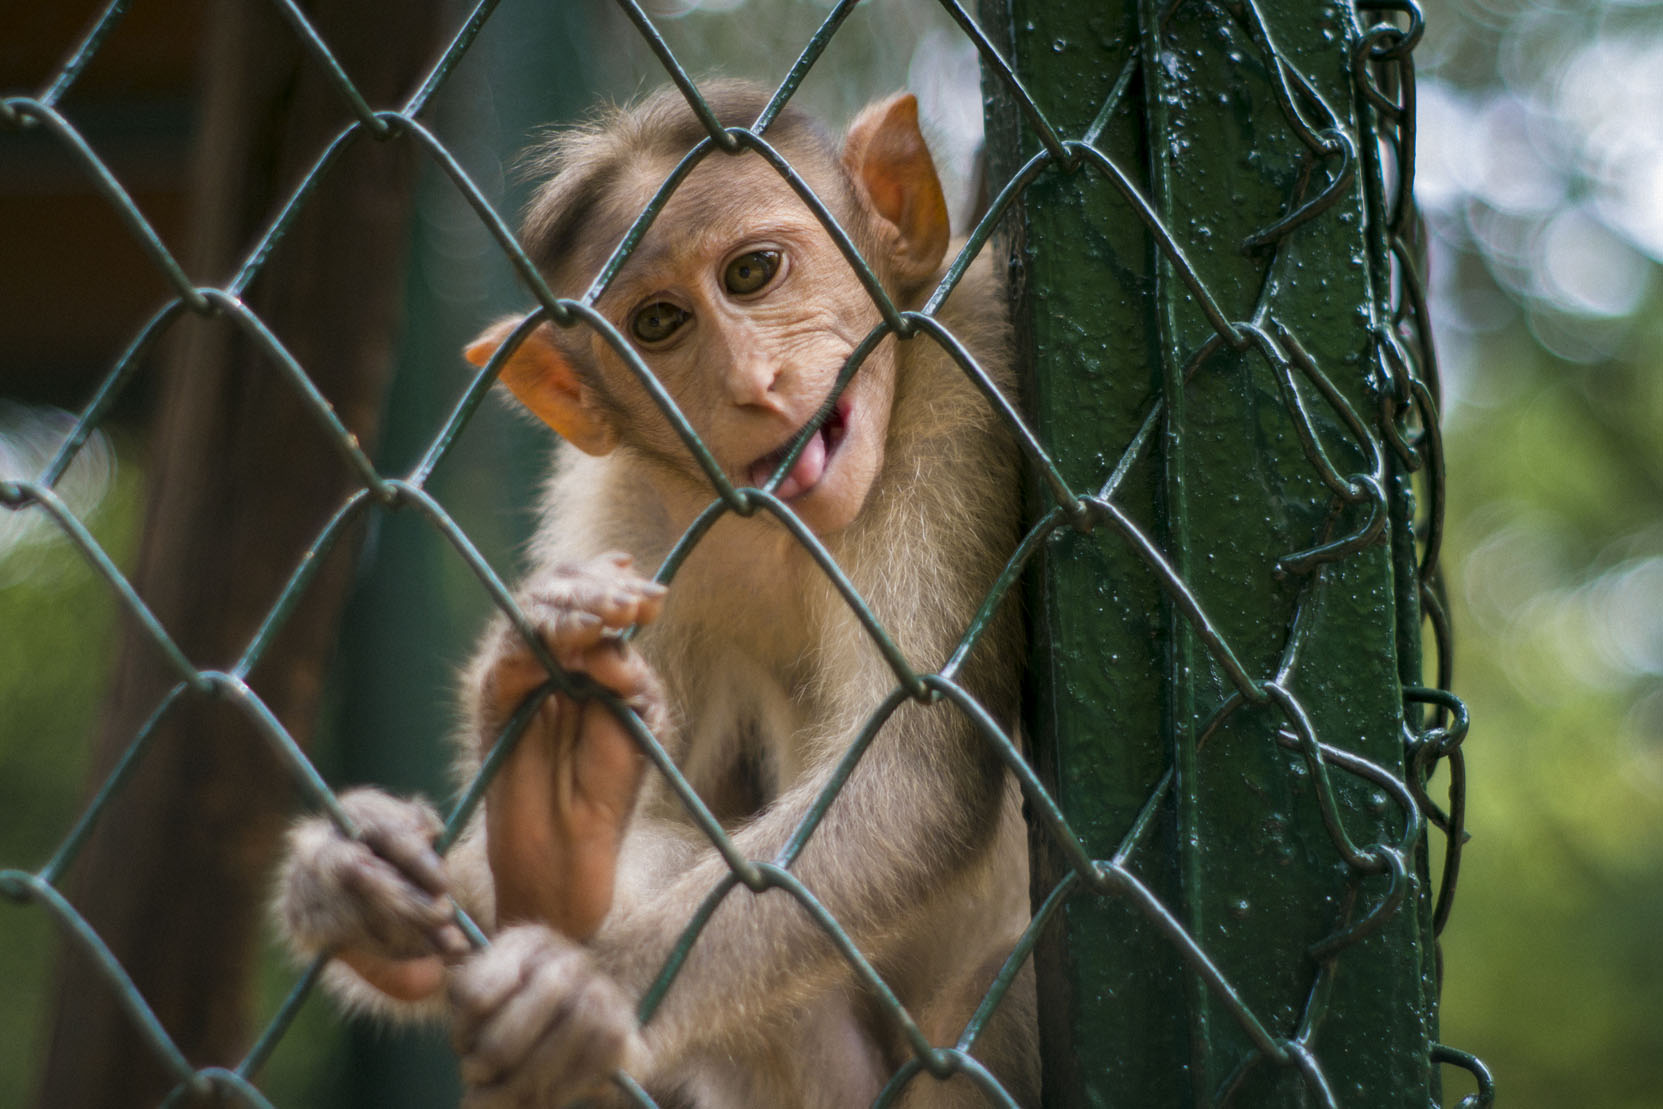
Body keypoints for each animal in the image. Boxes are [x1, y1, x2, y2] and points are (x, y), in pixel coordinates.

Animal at [274, 82, 1031, 1104]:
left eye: (752, 273)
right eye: (660, 324)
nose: (752, 382)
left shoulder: (960, 378)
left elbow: (918, 770)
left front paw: (593, 988)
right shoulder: (627, 506)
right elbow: (687, 799)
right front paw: (365, 875)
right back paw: (551, 832)